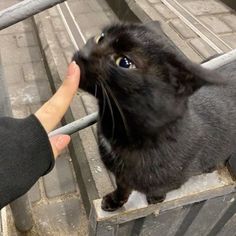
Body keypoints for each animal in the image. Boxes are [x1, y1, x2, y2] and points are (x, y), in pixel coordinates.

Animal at [73, 21, 235, 210]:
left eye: (124, 62)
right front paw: (114, 202)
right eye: (101, 37)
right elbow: (123, 187)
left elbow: (156, 190)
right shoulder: (121, 176)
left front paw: (155, 199)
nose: (83, 53)